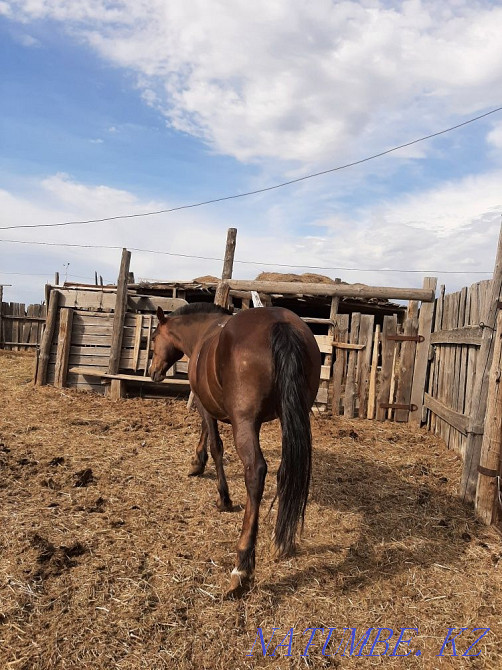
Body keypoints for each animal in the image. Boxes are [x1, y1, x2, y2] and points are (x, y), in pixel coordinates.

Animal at [150, 302, 321, 597]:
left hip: (245, 422)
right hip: (290, 415)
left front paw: (223, 497)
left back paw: (242, 567)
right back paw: (280, 540)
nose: (153, 371)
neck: (204, 333)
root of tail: (279, 323)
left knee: (255, 473)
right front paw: (197, 463)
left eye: (153, 339)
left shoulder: (206, 406)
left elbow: (215, 445)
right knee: (284, 471)